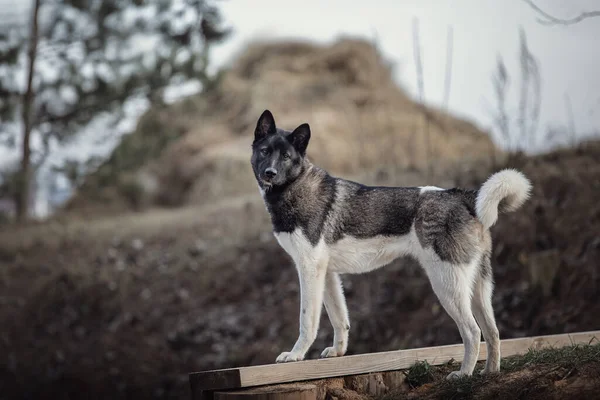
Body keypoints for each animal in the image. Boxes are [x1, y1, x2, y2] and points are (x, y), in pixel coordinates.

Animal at [251, 109, 532, 378]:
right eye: (265, 151)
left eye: (286, 156)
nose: (269, 173)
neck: (296, 186)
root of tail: (460, 196)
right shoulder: (327, 273)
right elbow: (339, 319)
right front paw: (338, 352)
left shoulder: (309, 269)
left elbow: (307, 321)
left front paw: (295, 355)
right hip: (477, 289)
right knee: (493, 332)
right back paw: (489, 372)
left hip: (447, 285)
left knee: (473, 332)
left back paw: (464, 374)